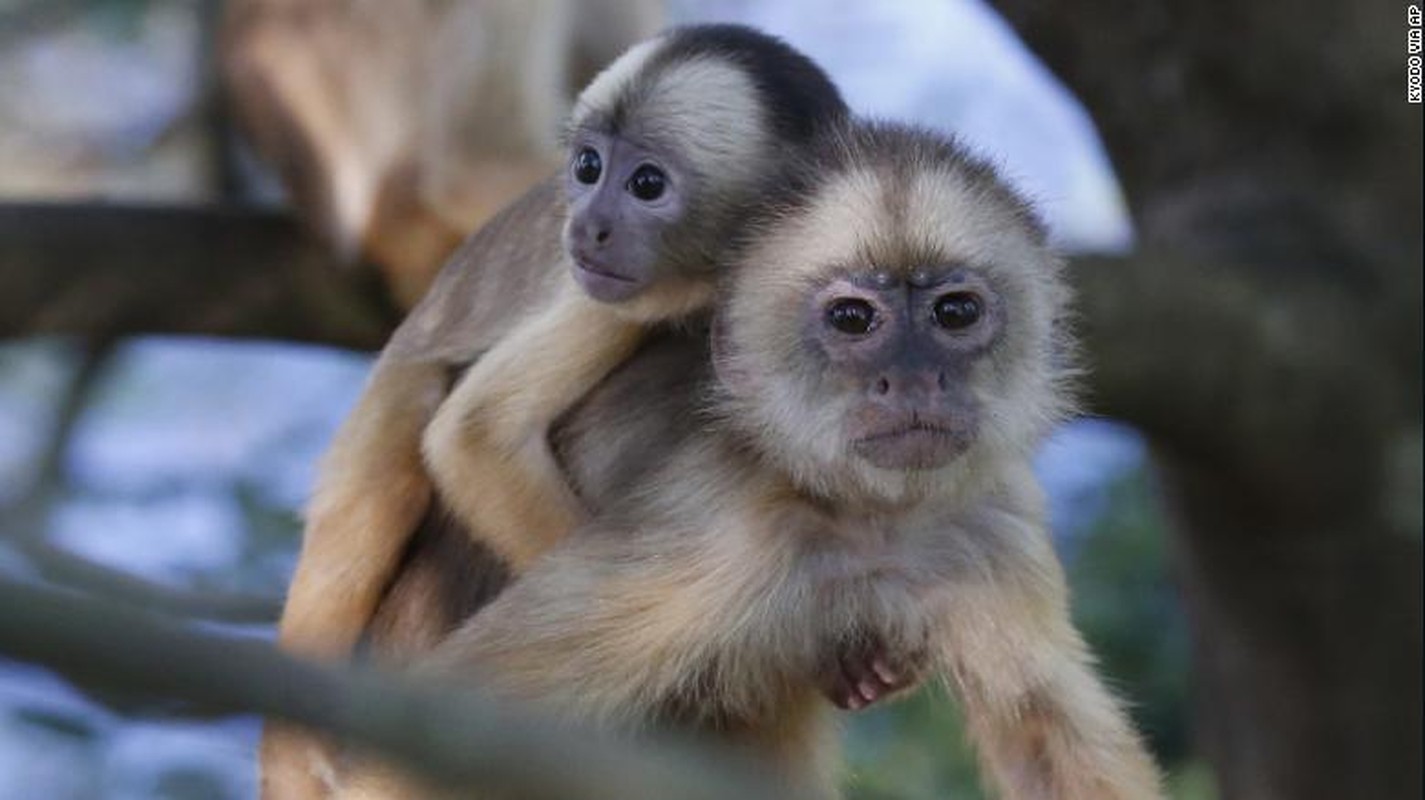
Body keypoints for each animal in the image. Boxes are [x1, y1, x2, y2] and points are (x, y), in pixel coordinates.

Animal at [347, 119, 1168, 798]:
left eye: (955, 312)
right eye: (853, 318)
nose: (911, 379)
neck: (870, 519)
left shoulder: (994, 522)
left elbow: (1044, 737)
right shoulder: (720, 526)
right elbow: (406, 749)